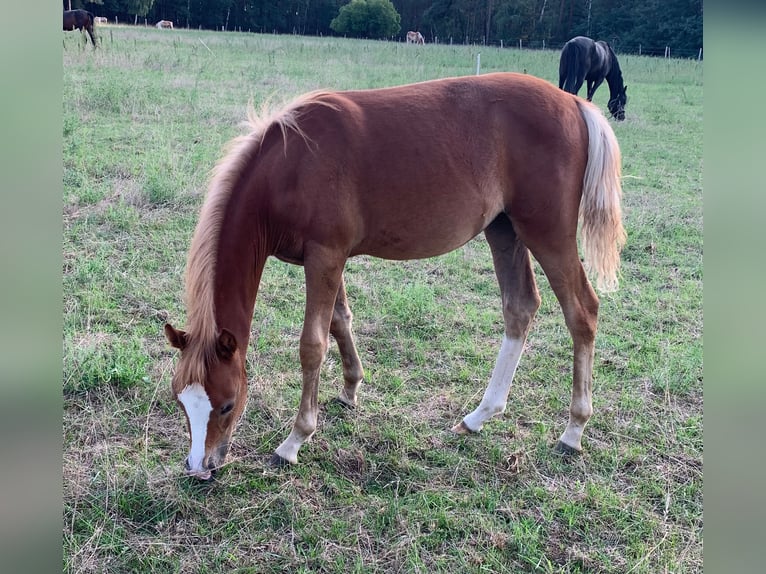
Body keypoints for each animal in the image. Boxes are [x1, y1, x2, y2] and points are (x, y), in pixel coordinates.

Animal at [165, 74, 628, 484]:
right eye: (180, 399)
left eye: (227, 405)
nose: (200, 468)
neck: (291, 164)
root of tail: (575, 103)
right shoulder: (328, 258)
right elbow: (340, 321)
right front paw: (350, 390)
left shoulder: (325, 256)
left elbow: (312, 344)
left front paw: (295, 440)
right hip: (504, 229)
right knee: (520, 308)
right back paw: (479, 416)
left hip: (547, 233)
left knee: (582, 311)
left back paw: (573, 430)